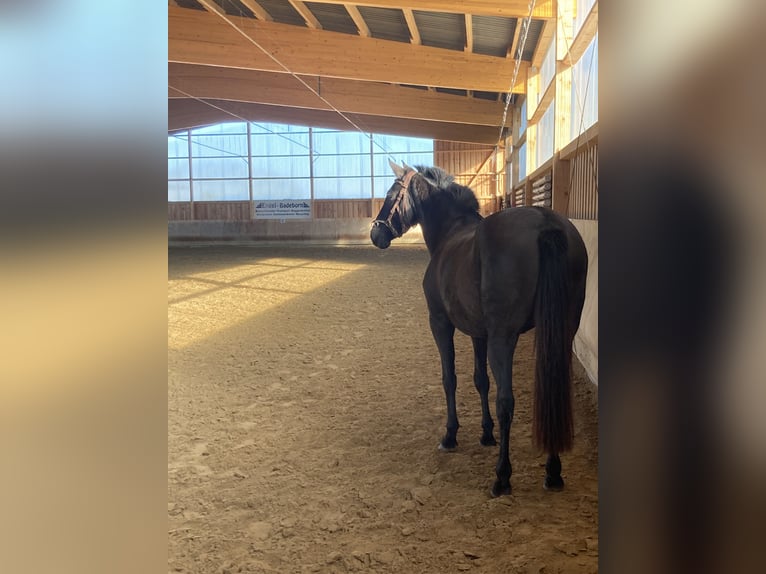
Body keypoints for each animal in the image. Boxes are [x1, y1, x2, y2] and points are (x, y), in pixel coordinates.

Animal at [372, 163, 588, 500]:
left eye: (392, 195)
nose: (376, 233)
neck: (451, 233)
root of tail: (545, 222)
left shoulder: (440, 323)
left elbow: (450, 379)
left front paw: (450, 435)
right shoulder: (478, 332)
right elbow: (480, 380)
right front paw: (486, 434)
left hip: (504, 338)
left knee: (506, 403)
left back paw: (502, 477)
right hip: (561, 334)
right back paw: (553, 472)